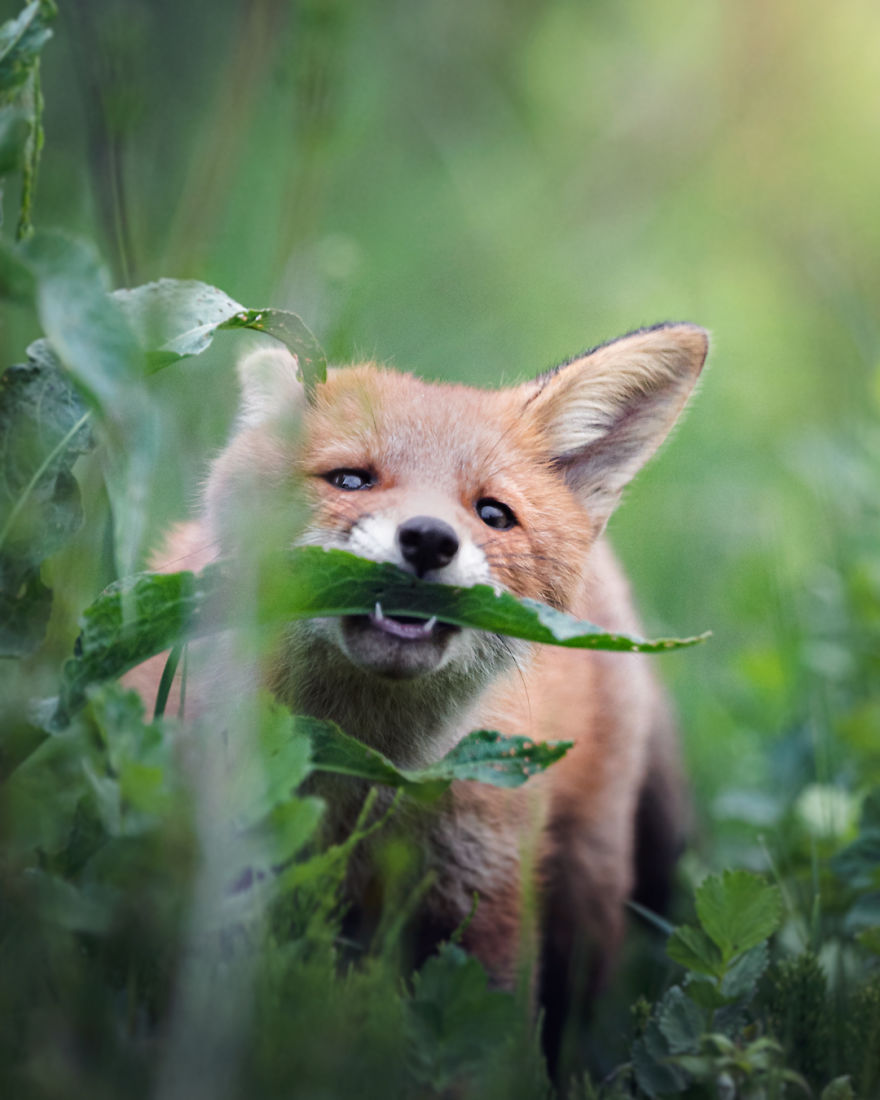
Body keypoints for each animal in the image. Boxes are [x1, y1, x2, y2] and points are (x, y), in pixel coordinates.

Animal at [132, 321, 708, 1069]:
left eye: (493, 513)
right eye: (351, 479)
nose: (429, 540)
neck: (367, 770)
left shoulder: (485, 891)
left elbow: (483, 1045)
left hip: (589, 880)